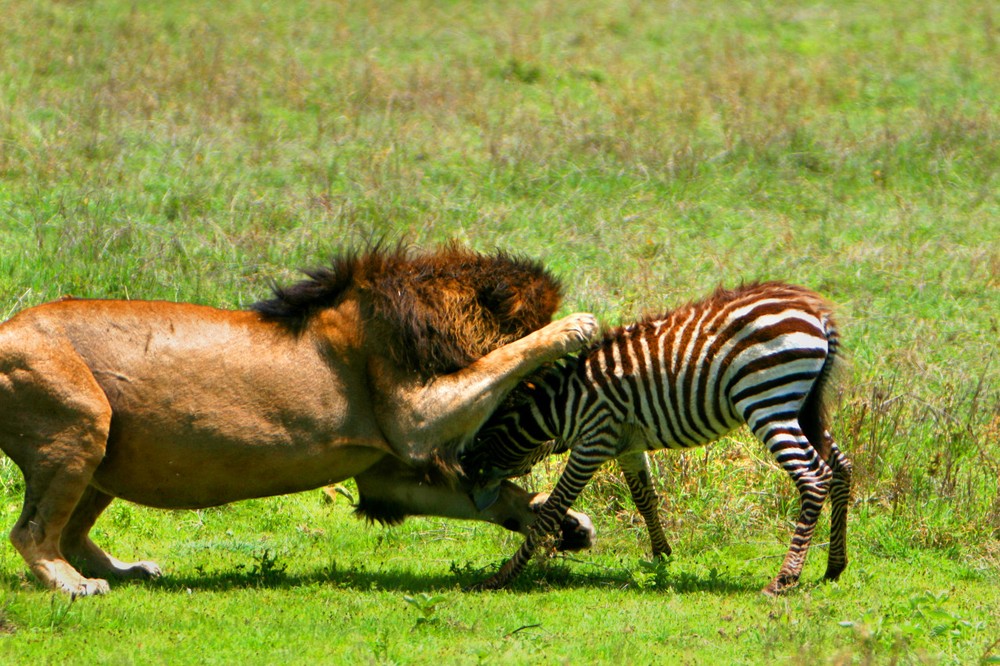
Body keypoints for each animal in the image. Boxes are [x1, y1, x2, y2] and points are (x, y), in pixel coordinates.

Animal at [0, 241, 592, 592]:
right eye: (551, 382)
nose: (559, 443)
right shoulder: (416, 420)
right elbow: (503, 359)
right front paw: (573, 327)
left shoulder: (388, 476)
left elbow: (488, 499)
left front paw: (562, 521)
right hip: (82, 419)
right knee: (32, 533)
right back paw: (73, 584)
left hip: (106, 450)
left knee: (70, 532)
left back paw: (125, 570)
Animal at [460, 280, 852, 592]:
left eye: (479, 440)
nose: (465, 480)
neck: (563, 407)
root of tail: (815, 312)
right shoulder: (626, 444)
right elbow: (644, 497)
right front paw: (662, 555)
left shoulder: (593, 440)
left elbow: (553, 508)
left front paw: (501, 577)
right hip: (803, 405)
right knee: (842, 468)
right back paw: (835, 567)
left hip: (767, 401)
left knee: (814, 477)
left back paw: (784, 579)